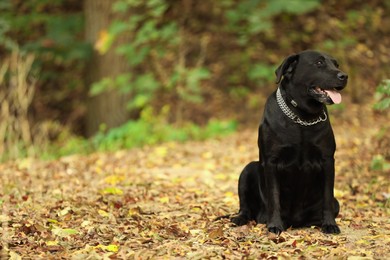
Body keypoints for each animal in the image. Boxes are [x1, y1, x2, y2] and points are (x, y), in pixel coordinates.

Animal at [232, 49, 348, 235]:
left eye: (336, 64)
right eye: (319, 63)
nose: (344, 76)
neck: (302, 117)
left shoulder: (327, 160)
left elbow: (327, 196)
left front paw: (330, 224)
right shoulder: (271, 162)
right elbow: (274, 196)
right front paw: (274, 225)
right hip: (247, 169)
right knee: (245, 207)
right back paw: (240, 218)